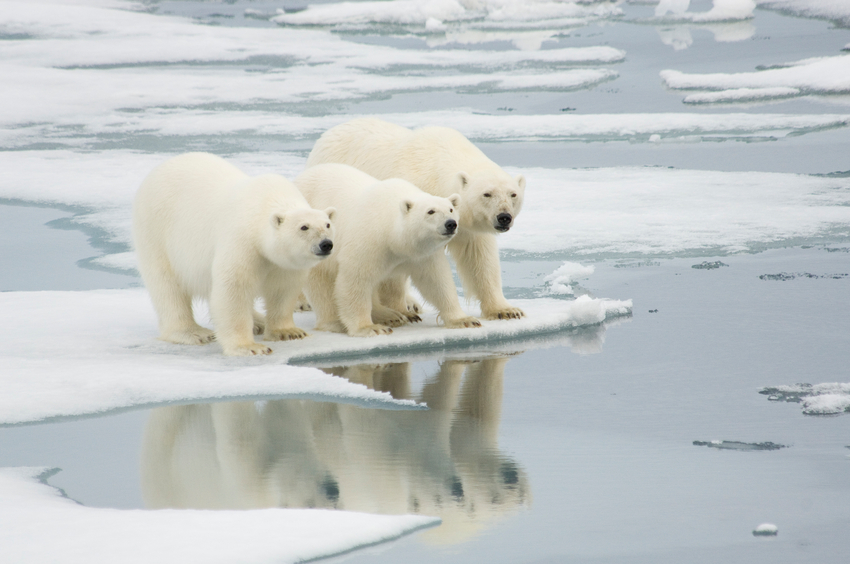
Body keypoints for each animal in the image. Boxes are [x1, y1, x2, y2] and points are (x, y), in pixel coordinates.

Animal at [133, 152, 334, 354]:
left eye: (328, 225)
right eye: (304, 227)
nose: (326, 244)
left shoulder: (283, 263)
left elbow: (283, 288)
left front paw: (289, 332)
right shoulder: (242, 240)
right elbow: (234, 288)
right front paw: (249, 347)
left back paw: (258, 321)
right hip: (156, 232)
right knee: (167, 286)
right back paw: (194, 332)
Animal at [294, 165, 480, 338]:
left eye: (451, 209)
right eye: (431, 211)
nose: (451, 224)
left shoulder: (422, 253)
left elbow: (436, 280)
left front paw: (464, 320)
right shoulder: (369, 242)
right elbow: (355, 281)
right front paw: (369, 328)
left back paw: (395, 314)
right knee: (321, 282)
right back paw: (335, 322)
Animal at [304, 118, 524, 322]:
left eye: (513, 194)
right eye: (487, 194)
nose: (504, 217)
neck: (436, 167)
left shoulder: (466, 225)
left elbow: (479, 258)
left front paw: (506, 310)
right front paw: (401, 310)